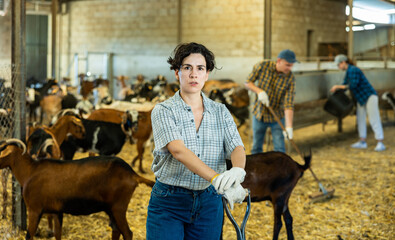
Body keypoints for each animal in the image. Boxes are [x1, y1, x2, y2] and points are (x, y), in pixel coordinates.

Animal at [0, 139, 155, 240]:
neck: (30, 171)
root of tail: (132, 174)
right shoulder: (57, 210)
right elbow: (57, 234)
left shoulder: (34, 209)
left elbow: (29, 235)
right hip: (111, 209)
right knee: (116, 230)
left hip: (118, 207)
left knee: (127, 233)